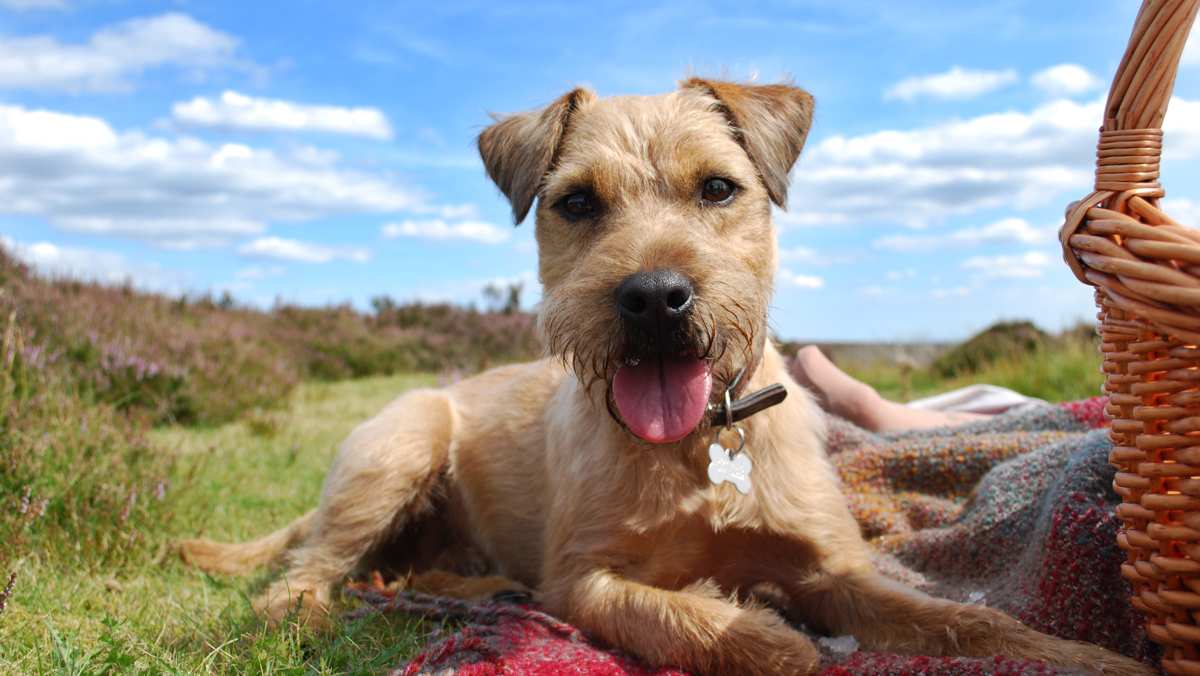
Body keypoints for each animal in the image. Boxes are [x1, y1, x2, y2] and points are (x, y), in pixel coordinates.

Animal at [180, 80, 1152, 676]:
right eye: (577, 202)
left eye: (718, 188)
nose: (653, 298)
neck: (700, 444)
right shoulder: (583, 580)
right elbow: (694, 619)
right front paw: (766, 631)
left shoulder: (838, 568)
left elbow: (973, 621)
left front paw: (1093, 659)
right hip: (399, 448)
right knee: (308, 574)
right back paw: (319, 614)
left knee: (397, 573)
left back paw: (472, 588)